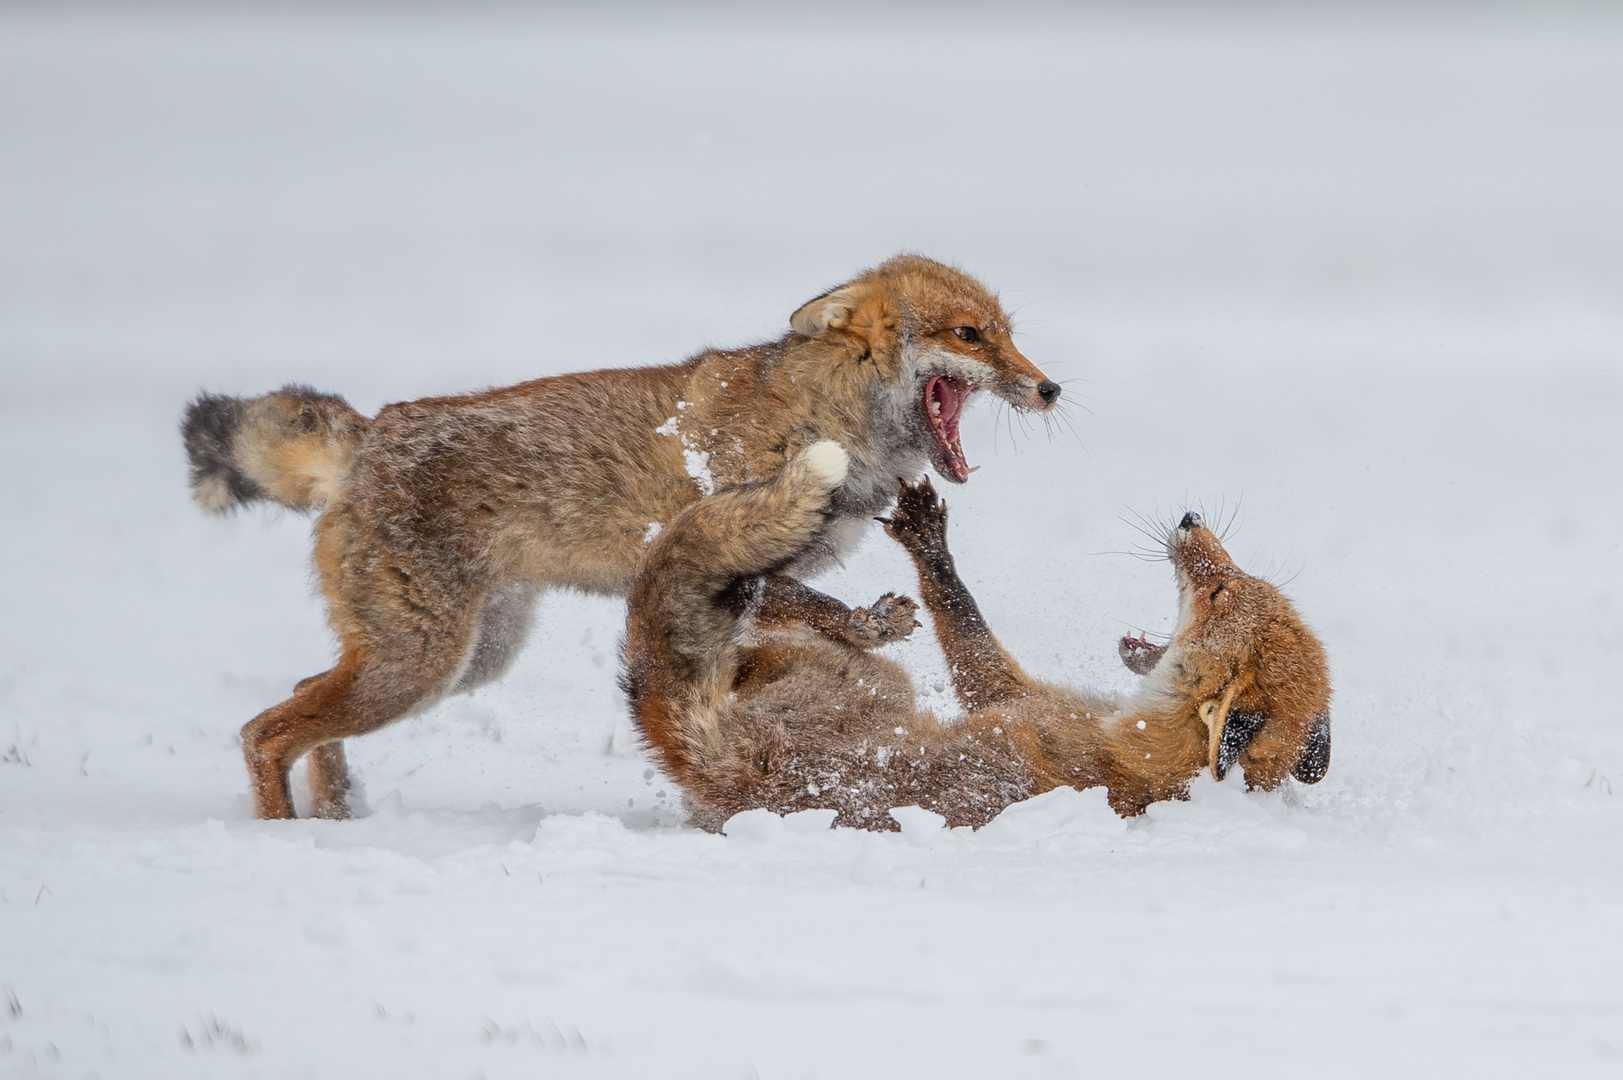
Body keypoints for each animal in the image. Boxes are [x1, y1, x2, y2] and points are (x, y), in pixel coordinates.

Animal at [184, 256, 1058, 821]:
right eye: (969, 334)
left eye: (1007, 334)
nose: (1049, 388)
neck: (828, 414)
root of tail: (369, 435)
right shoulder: (742, 546)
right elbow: (828, 613)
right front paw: (870, 627)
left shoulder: (761, 578)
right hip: (418, 664)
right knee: (264, 733)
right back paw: (283, 839)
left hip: (462, 662)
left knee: (299, 701)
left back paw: (337, 816)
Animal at [619, 438, 1330, 825]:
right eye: (1233, 579)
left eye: (1217, 593)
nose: (1189, 518)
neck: (1155, 755)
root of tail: (738, 773)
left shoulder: (1007, 697)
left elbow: (963, 621)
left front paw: (932, 551)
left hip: (878, 681)